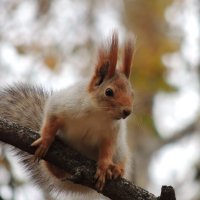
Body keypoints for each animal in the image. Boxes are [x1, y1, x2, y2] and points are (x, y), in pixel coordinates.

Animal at [0, 32, 135, 199]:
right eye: (109, 92)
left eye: (132, 93)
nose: (127, 111)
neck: (98, 114)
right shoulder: (62, 104)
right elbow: (51, 120)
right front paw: (46, 140)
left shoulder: (112, 132)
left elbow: (107, 149)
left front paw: (104, 167)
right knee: (56, 173)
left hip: (121, 150)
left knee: (121, 159)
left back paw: (117, 169)